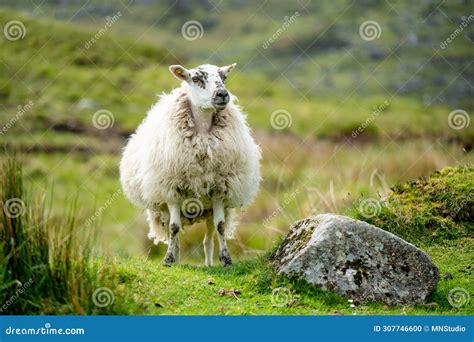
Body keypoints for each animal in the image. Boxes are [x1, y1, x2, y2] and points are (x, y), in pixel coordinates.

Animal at [118, 64, 260, 268]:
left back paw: (209, 264)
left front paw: (227, 260)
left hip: (207, 210)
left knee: (208, 239)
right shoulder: (172, 190)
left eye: (224, 77)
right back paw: (175, 259)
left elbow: (220, 226)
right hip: (165, 208)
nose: (222, 94)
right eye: (195, 78)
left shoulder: (219, 189)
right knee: (176, 237)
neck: (202, 134)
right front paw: (168, 260)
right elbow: (174, 228)